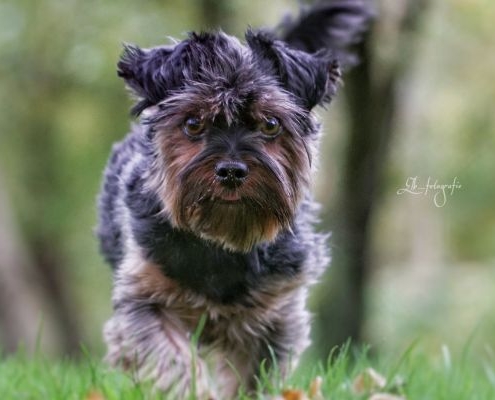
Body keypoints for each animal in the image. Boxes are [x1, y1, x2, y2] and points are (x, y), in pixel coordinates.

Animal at [97, 1, 370, 398]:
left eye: (270, 124)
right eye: (193, 123)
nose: (231, 170)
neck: (220, 241)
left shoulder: (274, 310)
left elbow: (253, 374)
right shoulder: (145, 299)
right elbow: (173, 361)